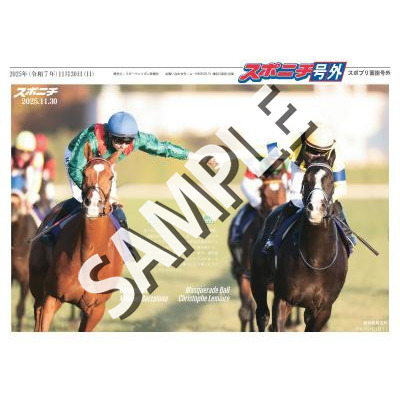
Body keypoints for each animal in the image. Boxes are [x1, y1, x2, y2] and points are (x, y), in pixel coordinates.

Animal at [29, 143, 124, 332]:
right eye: (84, 173)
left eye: (111, 177)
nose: (93, 205)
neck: (88, 253)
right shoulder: (51, 296)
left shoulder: (95, 310)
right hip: (37, 286)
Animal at [252, 158, 348, 332]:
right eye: (305, 180)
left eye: (331, 180)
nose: (315, 209)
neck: (316, 260)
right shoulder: (283, 299)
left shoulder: (323, 309)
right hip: (258, 280)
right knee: (262, 315)